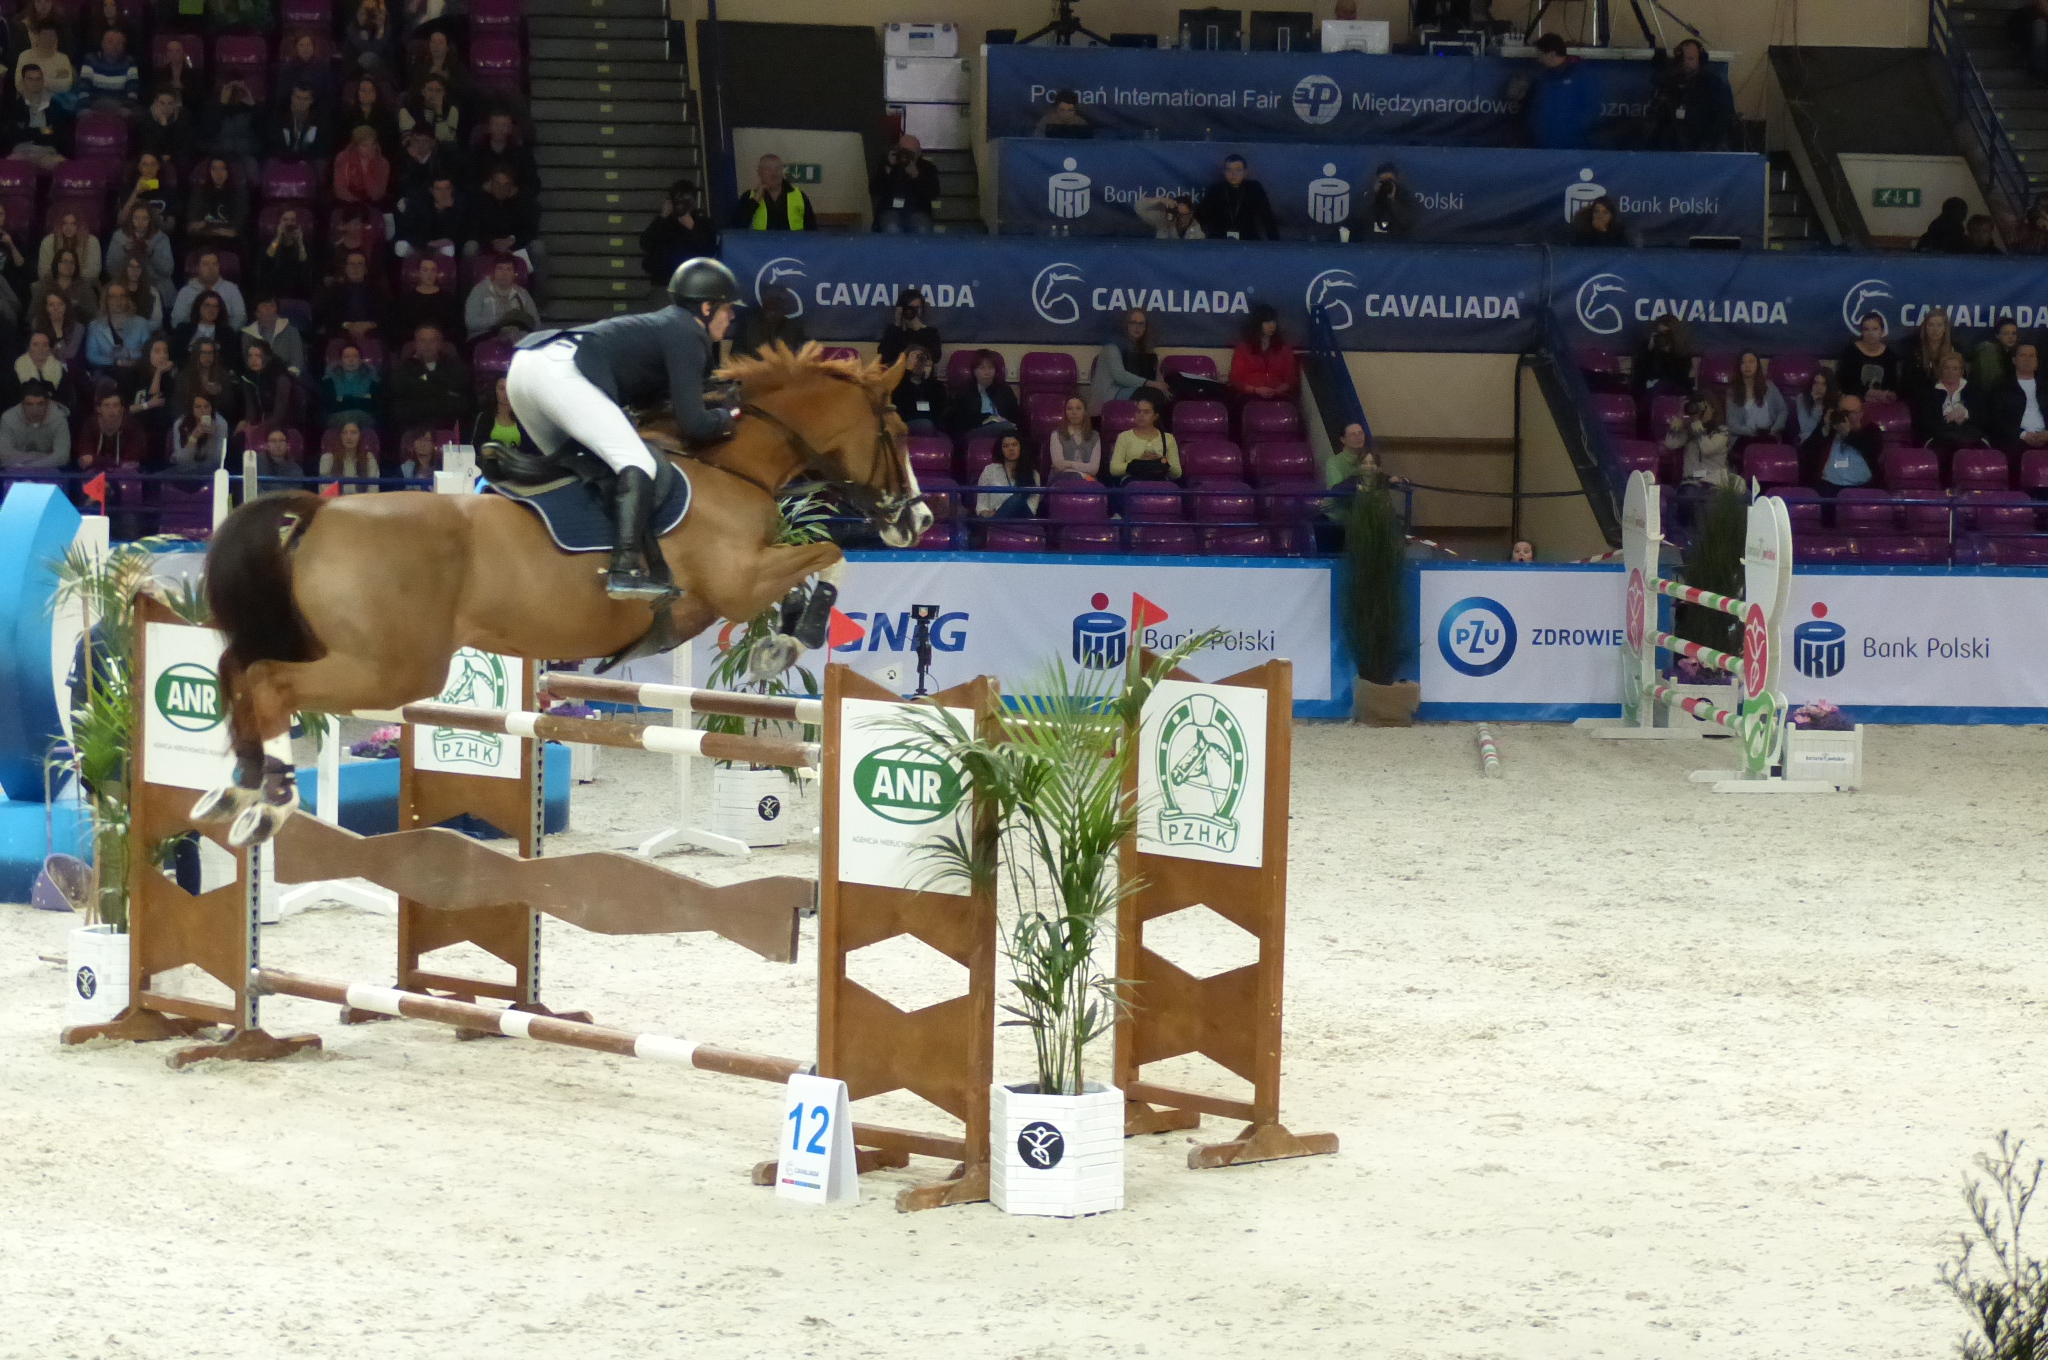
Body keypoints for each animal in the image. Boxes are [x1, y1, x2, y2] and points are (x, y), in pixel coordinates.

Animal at [194, 343, 928, 846]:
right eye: (897, 434)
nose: (918, 521)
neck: (727, 462)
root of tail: (321, 511)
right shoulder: (735, 582)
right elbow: (829, 556)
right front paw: (788, 641)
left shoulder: (746, 577)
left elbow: (811, 566)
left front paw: (788, 633)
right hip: (392, 668)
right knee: (269, 683)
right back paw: (270, 803)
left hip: (337, 649)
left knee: (237, 669)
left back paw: (231, 793)